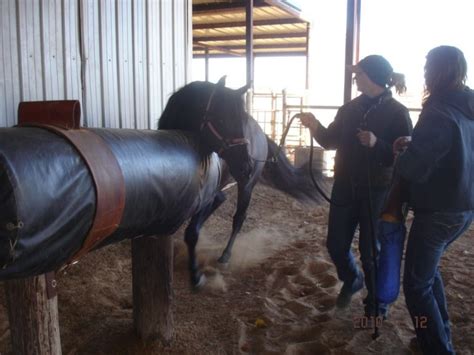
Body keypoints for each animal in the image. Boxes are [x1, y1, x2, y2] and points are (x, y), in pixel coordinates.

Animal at [159, 78, 326, 272]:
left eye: (240, 122)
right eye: (221, 119)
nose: (247, 166)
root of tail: (262, 135)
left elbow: (192, 231)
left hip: (246, 186)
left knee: (238, 217)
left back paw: (225, 255)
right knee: (221, 200)